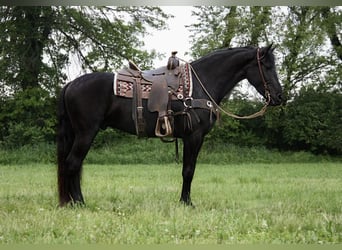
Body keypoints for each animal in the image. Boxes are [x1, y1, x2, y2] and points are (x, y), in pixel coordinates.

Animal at [57, 45, 284, 207]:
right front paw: (186, 203)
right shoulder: (194, 136)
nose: (280, 97)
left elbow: (188, 170)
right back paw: (80, 203)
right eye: (267, 67)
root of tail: (71, 84)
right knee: (73, 164)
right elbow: (188, 171)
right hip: (86, 133)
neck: (200, 85)